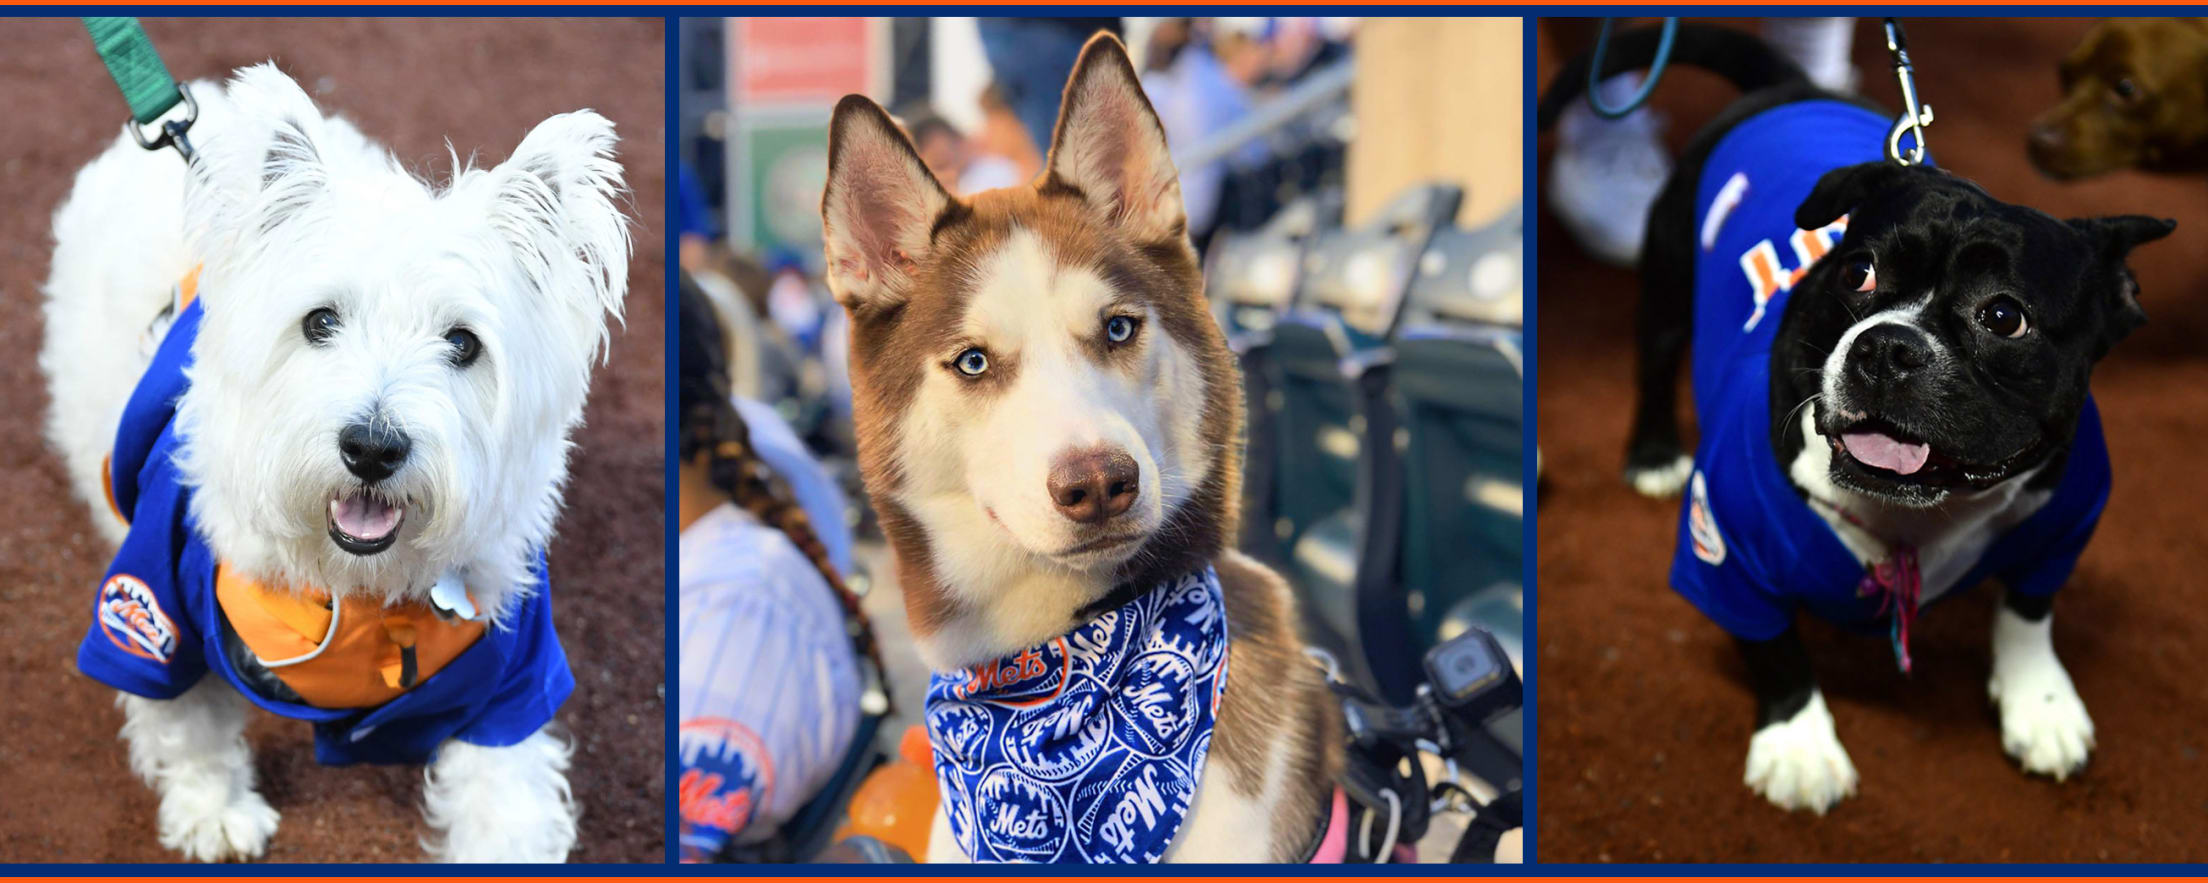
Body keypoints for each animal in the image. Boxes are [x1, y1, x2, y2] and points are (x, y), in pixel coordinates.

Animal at [43, 65, 631, 865]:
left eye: (464, 342)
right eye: (320, 321)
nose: (372, 448)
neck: (357, 588)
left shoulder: (514, 672)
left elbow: (506, 802)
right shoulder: (151, 604)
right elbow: (187, 723)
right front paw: (215, 813)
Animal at [1536, 25, 2172, 812]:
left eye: (2004, 316)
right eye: (1857, 271)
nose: (1886, 346)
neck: (1918, 519)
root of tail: (1790, 86)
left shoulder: (2063, 524)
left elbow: (2028, 611)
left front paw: (2040, 703)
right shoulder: (1727, 554)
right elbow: (1776, 648)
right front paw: (1799, 743)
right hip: (1667, 281)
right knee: (1654, 362)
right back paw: (1653, 454)